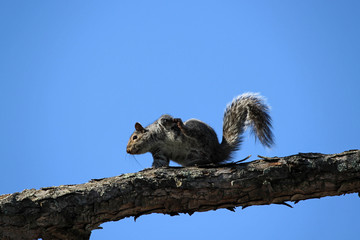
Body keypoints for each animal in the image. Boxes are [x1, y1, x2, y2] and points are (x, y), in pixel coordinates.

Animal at [126, 93, 272, 168]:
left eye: (134, 137)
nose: (127, 151)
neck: (155, 140)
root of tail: (217, 151)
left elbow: (165, 119)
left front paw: (168, 121)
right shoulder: (159, 153)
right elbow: (160, 163)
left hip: (198, 131)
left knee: (194, 136)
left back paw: (183, 128)